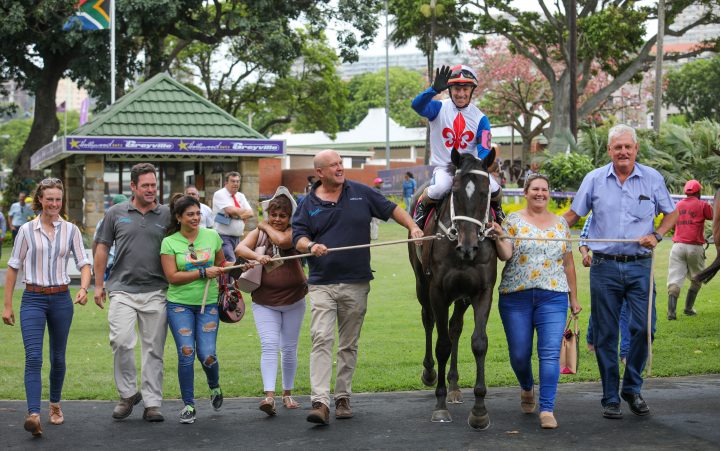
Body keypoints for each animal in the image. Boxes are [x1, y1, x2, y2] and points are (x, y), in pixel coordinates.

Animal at [408, 149, 498, 430]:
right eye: (455, 193)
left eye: (485, 193)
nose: (468, 247)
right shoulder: (438, 291)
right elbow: (442, 345)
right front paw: (440, 404)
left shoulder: (482, 291)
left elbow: (478, 342)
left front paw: (479, 409)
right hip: (421, 284)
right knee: (428, 321)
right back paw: (430, 372)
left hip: (462, 296)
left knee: (455, 327)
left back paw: (455, 386)